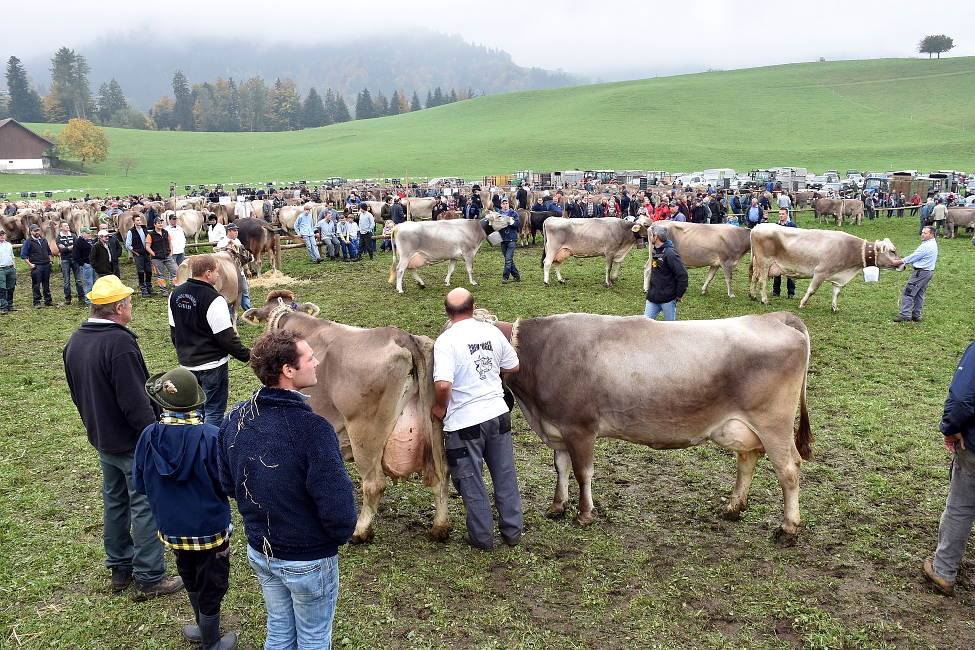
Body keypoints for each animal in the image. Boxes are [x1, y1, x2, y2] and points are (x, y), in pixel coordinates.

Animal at [242, 290, 452, 540]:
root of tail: (402, 336)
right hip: (434, 420)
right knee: (442, 472)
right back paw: (440, 526)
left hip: (364, 432)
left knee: (374, 484)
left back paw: (359, 531)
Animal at [496, 308, 808, 540]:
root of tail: (773, 317)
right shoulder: (556, 427)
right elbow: (561, 468)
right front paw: (557, 506)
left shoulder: (579, 427)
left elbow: (583, 473)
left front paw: (585, 514)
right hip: (743, 428)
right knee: (747, 460)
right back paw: (733, 508)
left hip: (773, 423)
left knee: (788, 469)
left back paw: (788, 527)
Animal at [748, 223, 908, 312]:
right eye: (892, 251)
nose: (903, 265)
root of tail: (757, 227)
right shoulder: (821, 271)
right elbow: (812, 290)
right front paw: (802, 304)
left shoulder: (838, 277)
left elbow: (836, 293)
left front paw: (835, 308)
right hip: (765, 262)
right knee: (762, 281)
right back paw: (765, 300)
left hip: (758, 264)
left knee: (754, 278)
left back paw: (753, 296)